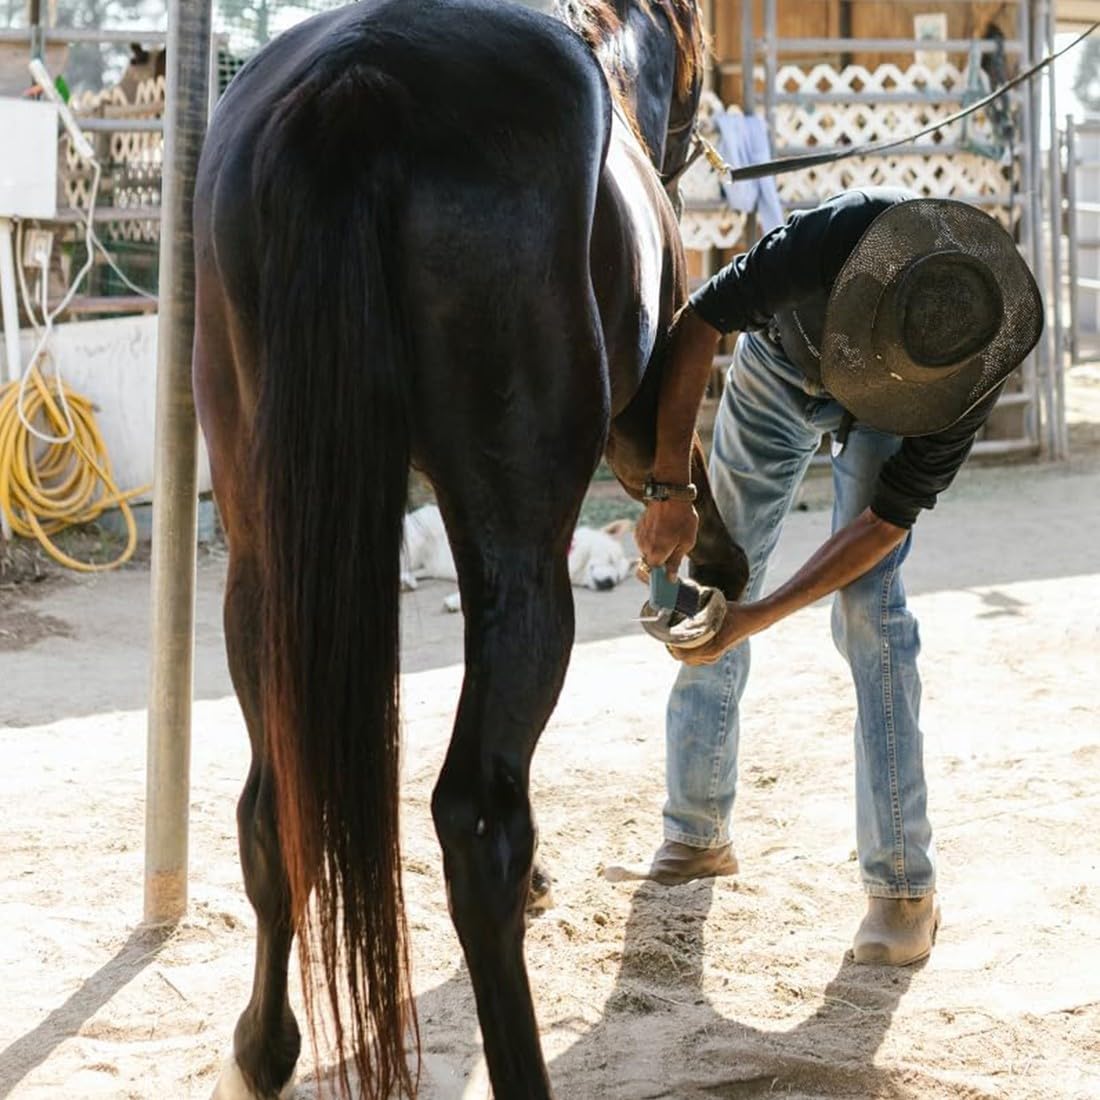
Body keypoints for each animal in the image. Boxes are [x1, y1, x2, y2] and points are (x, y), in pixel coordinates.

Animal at [192, 0, 748, 1095]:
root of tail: (359, 82)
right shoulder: (640, 419)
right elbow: (685, 467)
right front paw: (713, 561)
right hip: (521, 559)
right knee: (477, 822)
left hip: (263, 561)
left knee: (269, 808)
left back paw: (263, 1045)